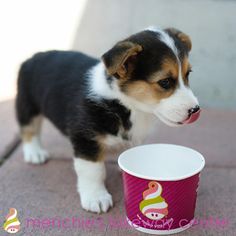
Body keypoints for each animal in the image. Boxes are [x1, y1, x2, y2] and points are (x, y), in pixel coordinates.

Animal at [15, 27, 200, 214]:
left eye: (188, 74)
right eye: (165, 82)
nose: (196, 110)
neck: (127, 104)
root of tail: (34, 56)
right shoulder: (86, 138)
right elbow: (93, 171)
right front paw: (96, 197)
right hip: (27, 104)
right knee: (29, 128)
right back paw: (35, 153)